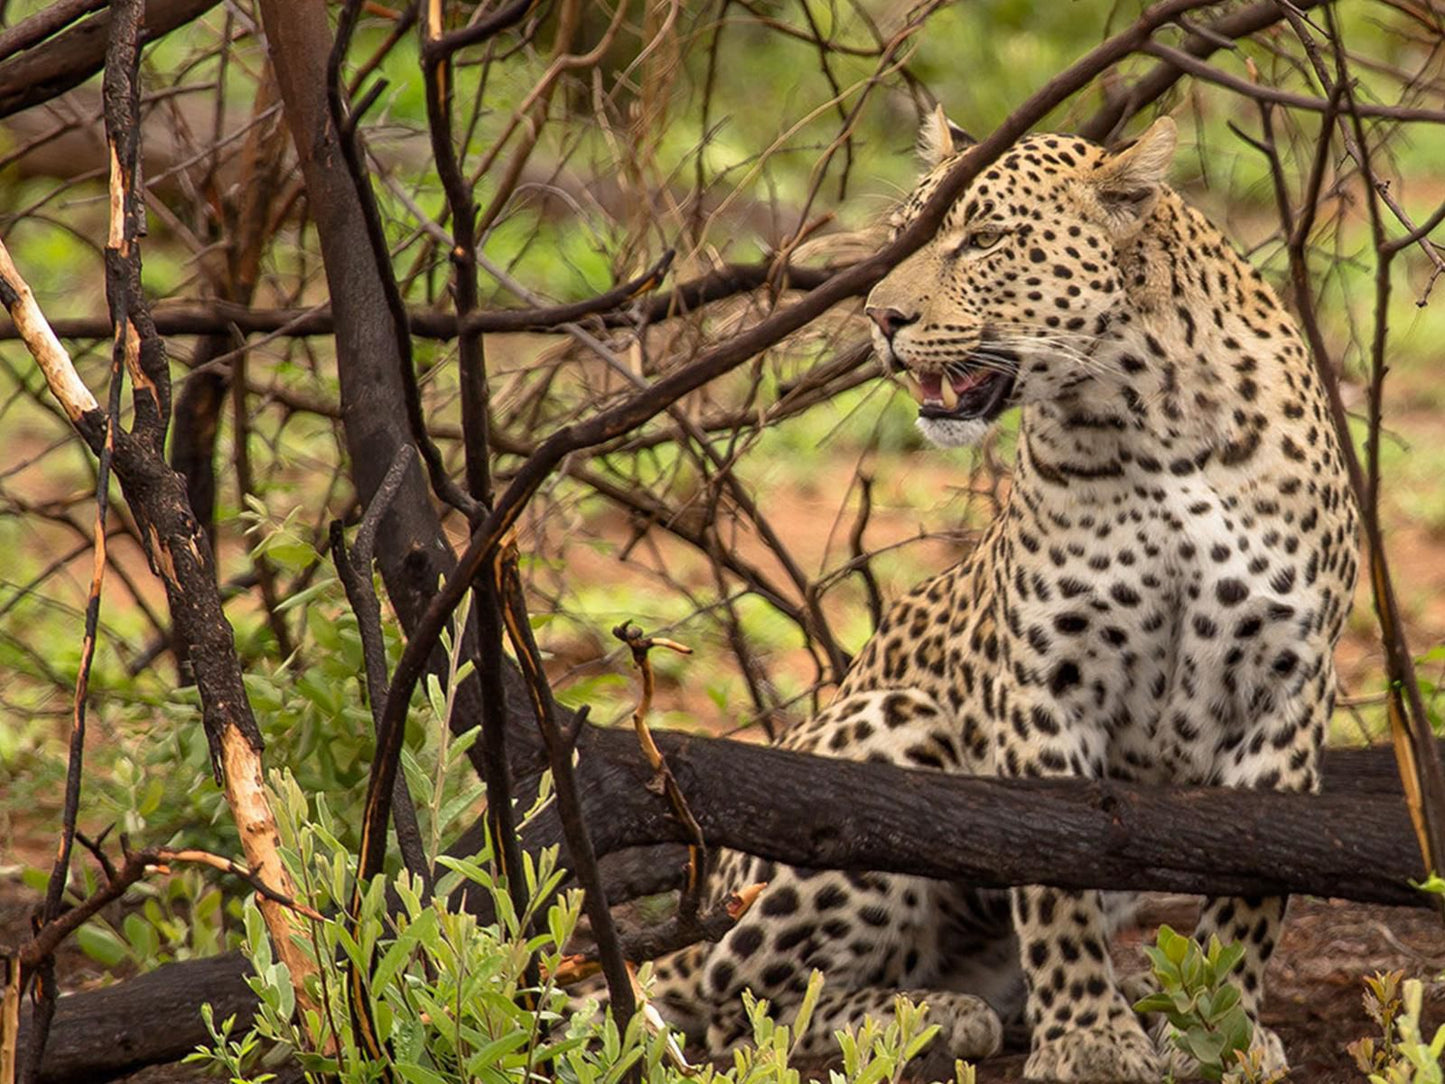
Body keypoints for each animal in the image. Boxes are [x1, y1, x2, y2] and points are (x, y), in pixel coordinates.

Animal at [644, 112, 1352, 1084]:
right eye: (907, 233)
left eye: (982, 239)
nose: (879, 318)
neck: (1153, 420)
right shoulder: (1048, 678)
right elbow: (1056, 876)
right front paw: (1089, 1039)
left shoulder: (1288, 682)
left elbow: (1251, 892)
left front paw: (1223, 1031)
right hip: (885, 729)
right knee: (747, 1013)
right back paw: (928, 1020)